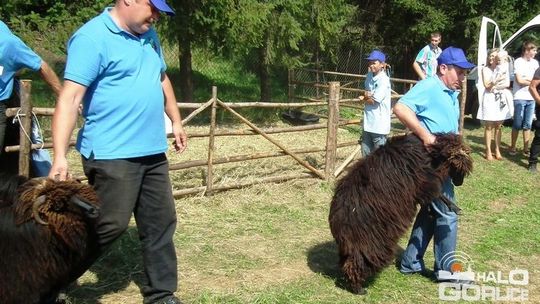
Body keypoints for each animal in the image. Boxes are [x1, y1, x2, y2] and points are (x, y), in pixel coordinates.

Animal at [326, 133, 470, 294]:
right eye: (458, 164)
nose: (459, 183)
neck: (430, 154)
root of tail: (337, 221)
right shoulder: (423, 181)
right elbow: (436, 193)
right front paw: (454, 207)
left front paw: (435, 210)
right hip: (371, 242)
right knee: (357, 263)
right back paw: (358, 288)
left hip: (352, 245)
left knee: (347, 261)